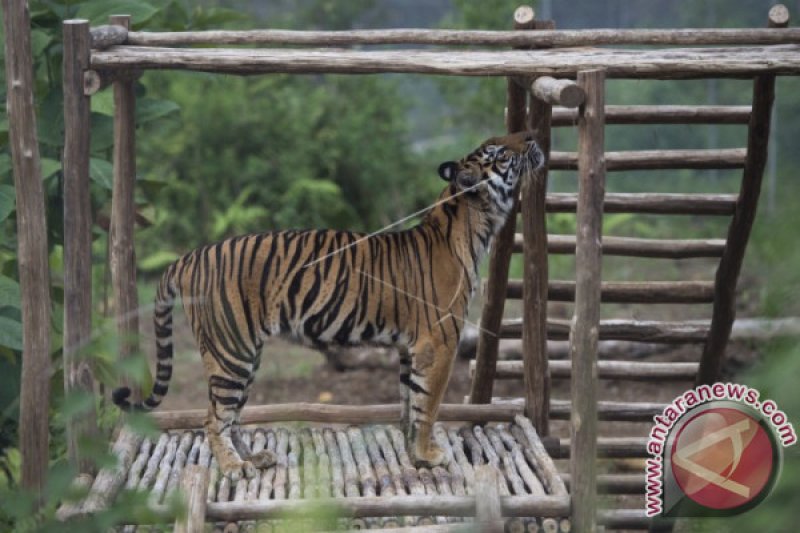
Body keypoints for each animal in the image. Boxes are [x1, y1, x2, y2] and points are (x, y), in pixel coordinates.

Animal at [112, 131, 544, 480]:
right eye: (500, 152)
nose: (532, 135)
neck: (472, 224)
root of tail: (188, 257)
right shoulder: (438, 342)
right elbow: (429, 406)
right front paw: (429, 455)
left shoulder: (410, 347)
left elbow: (409, 405)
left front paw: (413, 456)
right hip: (229, 351)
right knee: (212, 418)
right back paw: (234, 467)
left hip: (244, 355)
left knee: (230, 415)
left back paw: (254, 459)